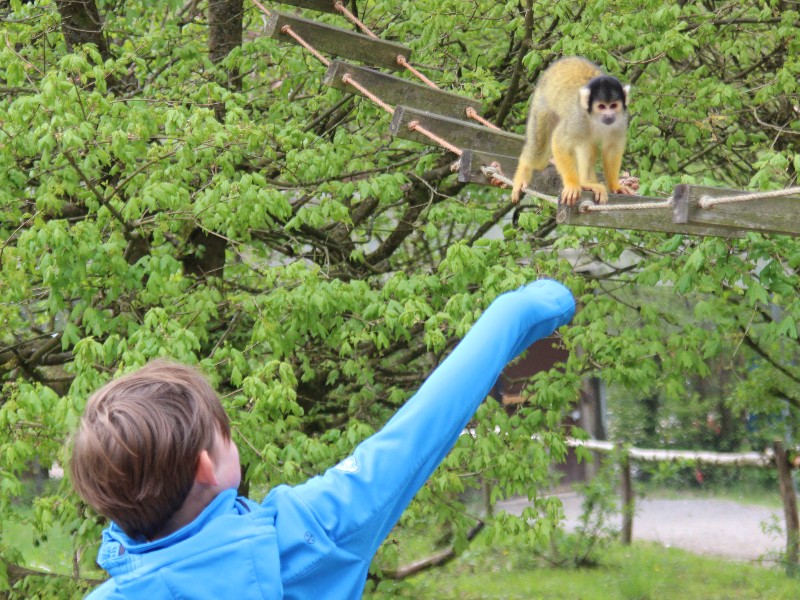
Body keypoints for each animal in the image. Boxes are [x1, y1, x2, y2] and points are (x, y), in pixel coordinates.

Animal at [510, 57, 636, 205]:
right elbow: (559, 141)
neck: (595, 118)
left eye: (613, 106)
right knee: (539, 150)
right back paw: (523, 173)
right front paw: (572, 184)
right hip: (541, 104)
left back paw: (586, 183)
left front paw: (615, 185)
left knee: (588, 144)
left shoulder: (621, 119)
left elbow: (612, 147)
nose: (609, 116)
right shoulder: (578, 117)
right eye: (601, 106)